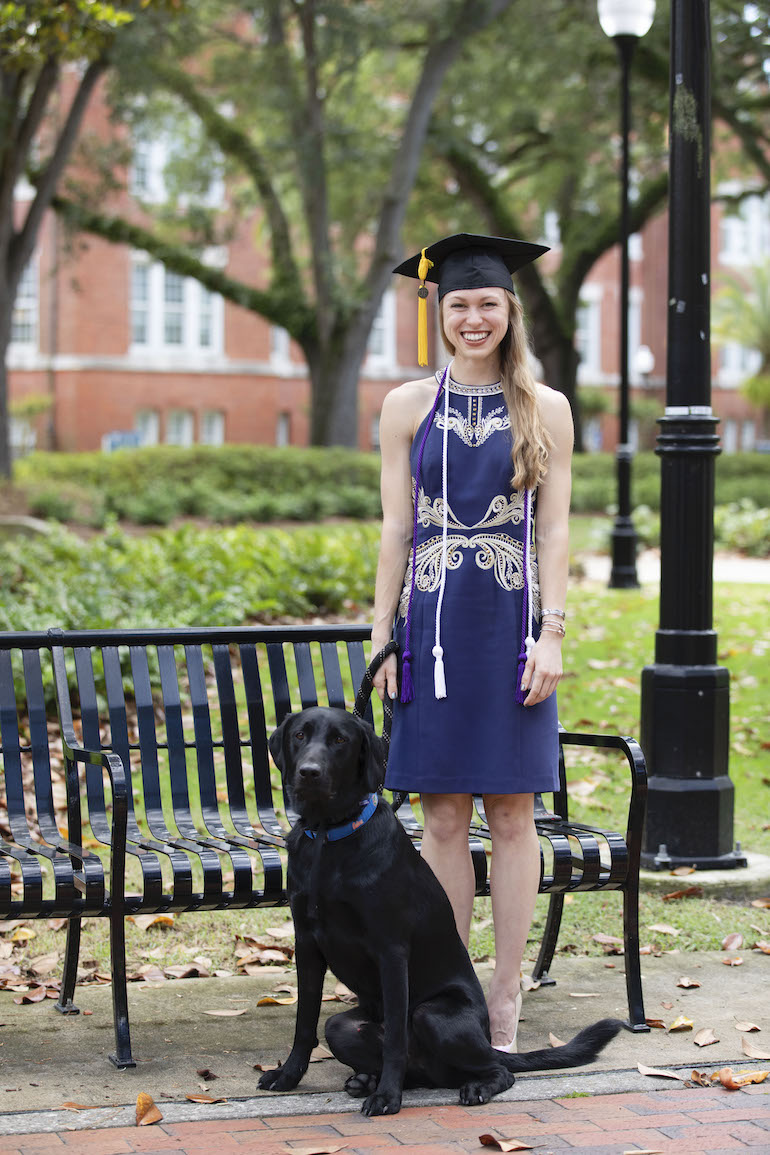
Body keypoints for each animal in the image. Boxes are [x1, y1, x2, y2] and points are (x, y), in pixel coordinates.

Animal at [262, 706, 623, 1113]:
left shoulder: (391, 950)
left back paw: (471, 1086)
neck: (330, 835)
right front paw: (287, 1076)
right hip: (342, 1028)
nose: (309, 772)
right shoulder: (307, 945)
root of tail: (487, 1041)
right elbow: (304, 1024)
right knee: (412, 1067)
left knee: (499, 1070)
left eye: (340, 740)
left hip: (433, 1015)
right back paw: (367, 1080)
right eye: (299, 735)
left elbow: (394, 1039)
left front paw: (387, 1097)